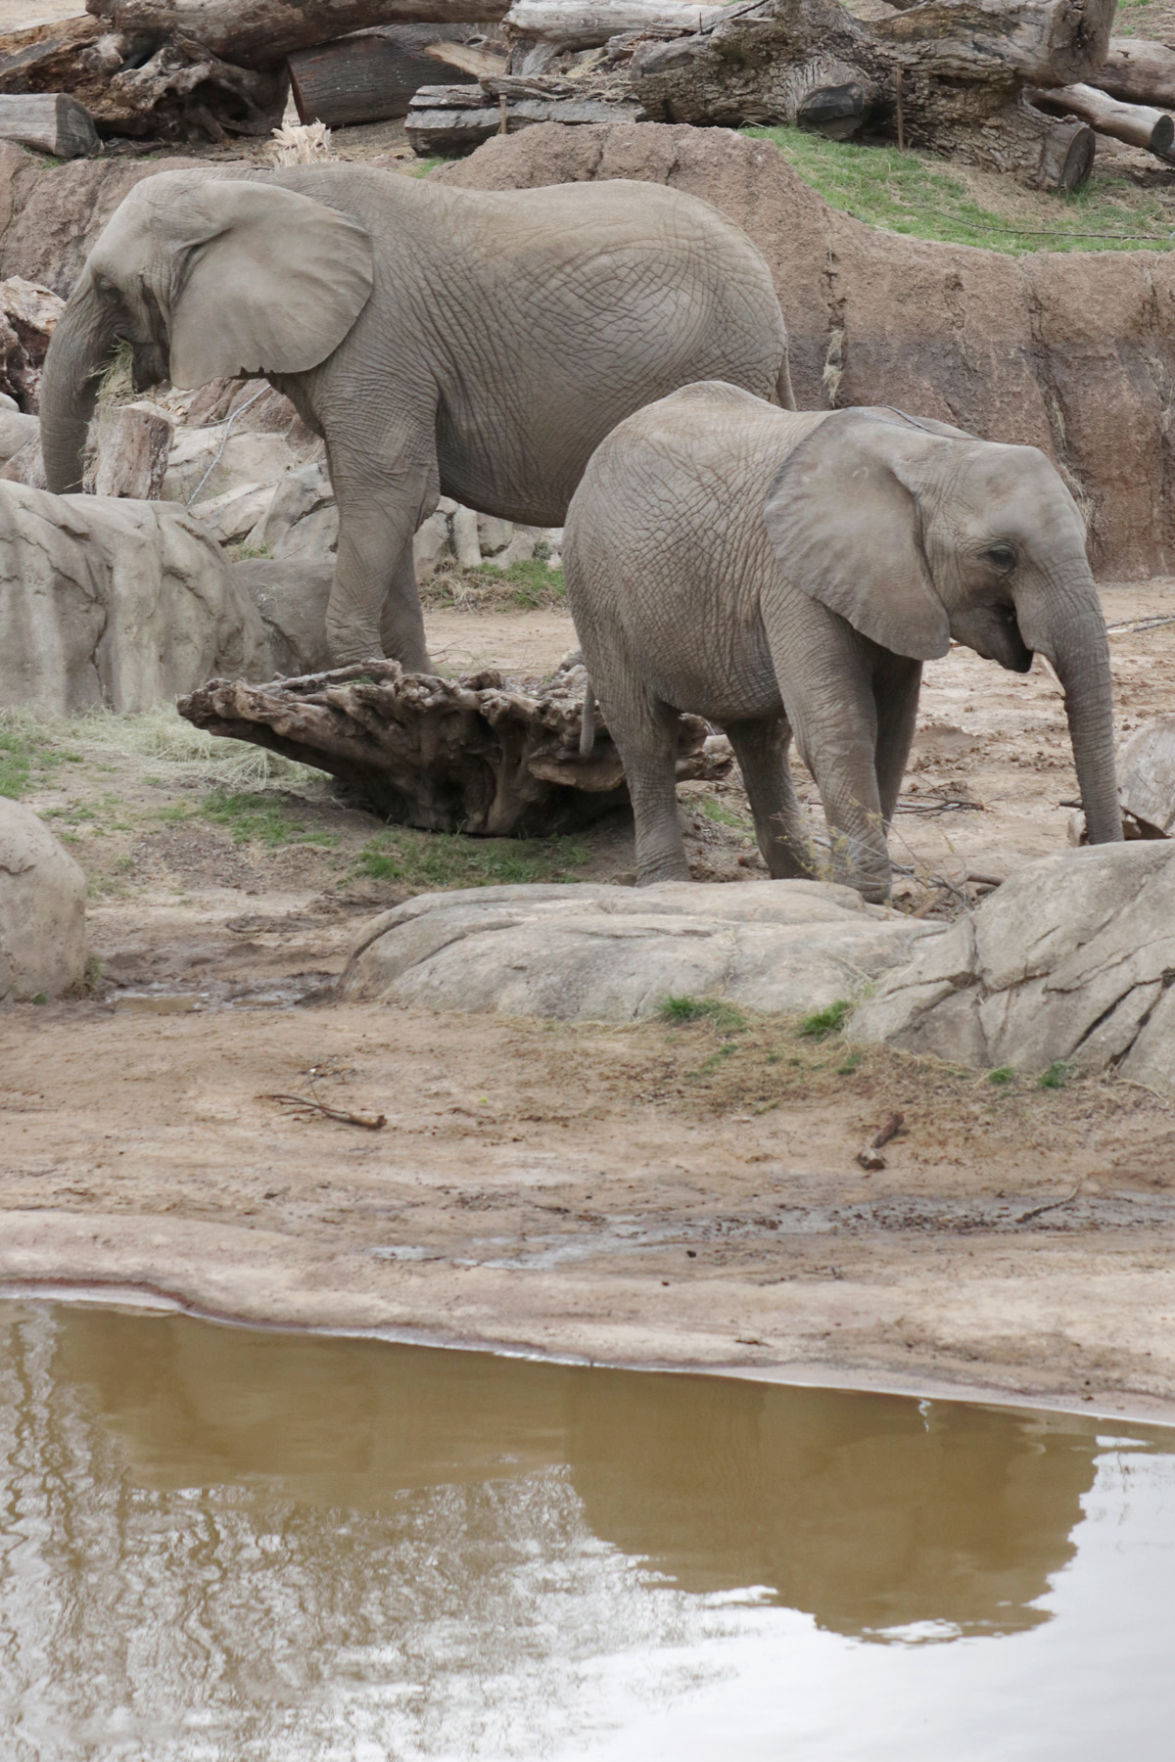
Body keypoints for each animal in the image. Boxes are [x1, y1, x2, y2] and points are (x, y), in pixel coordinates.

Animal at [38, 165, 789, 673]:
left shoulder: (379, 334)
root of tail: (772, 295)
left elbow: (388, 487)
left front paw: (358, 671)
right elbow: (377, 494)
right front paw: (411, 680)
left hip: (712, 361)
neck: (256, 186)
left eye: (108, 288)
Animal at [563, 380, 1127, 902]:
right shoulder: (791, 578)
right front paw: (866, 894)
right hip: (594, 590)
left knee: (761, 740)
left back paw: (798, 883)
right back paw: (669, 886)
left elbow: (892, 732)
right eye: (1001, 556)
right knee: (644, 736)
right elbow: (841, 725)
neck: (935, 451)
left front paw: (851, 890)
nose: (1095, 853)